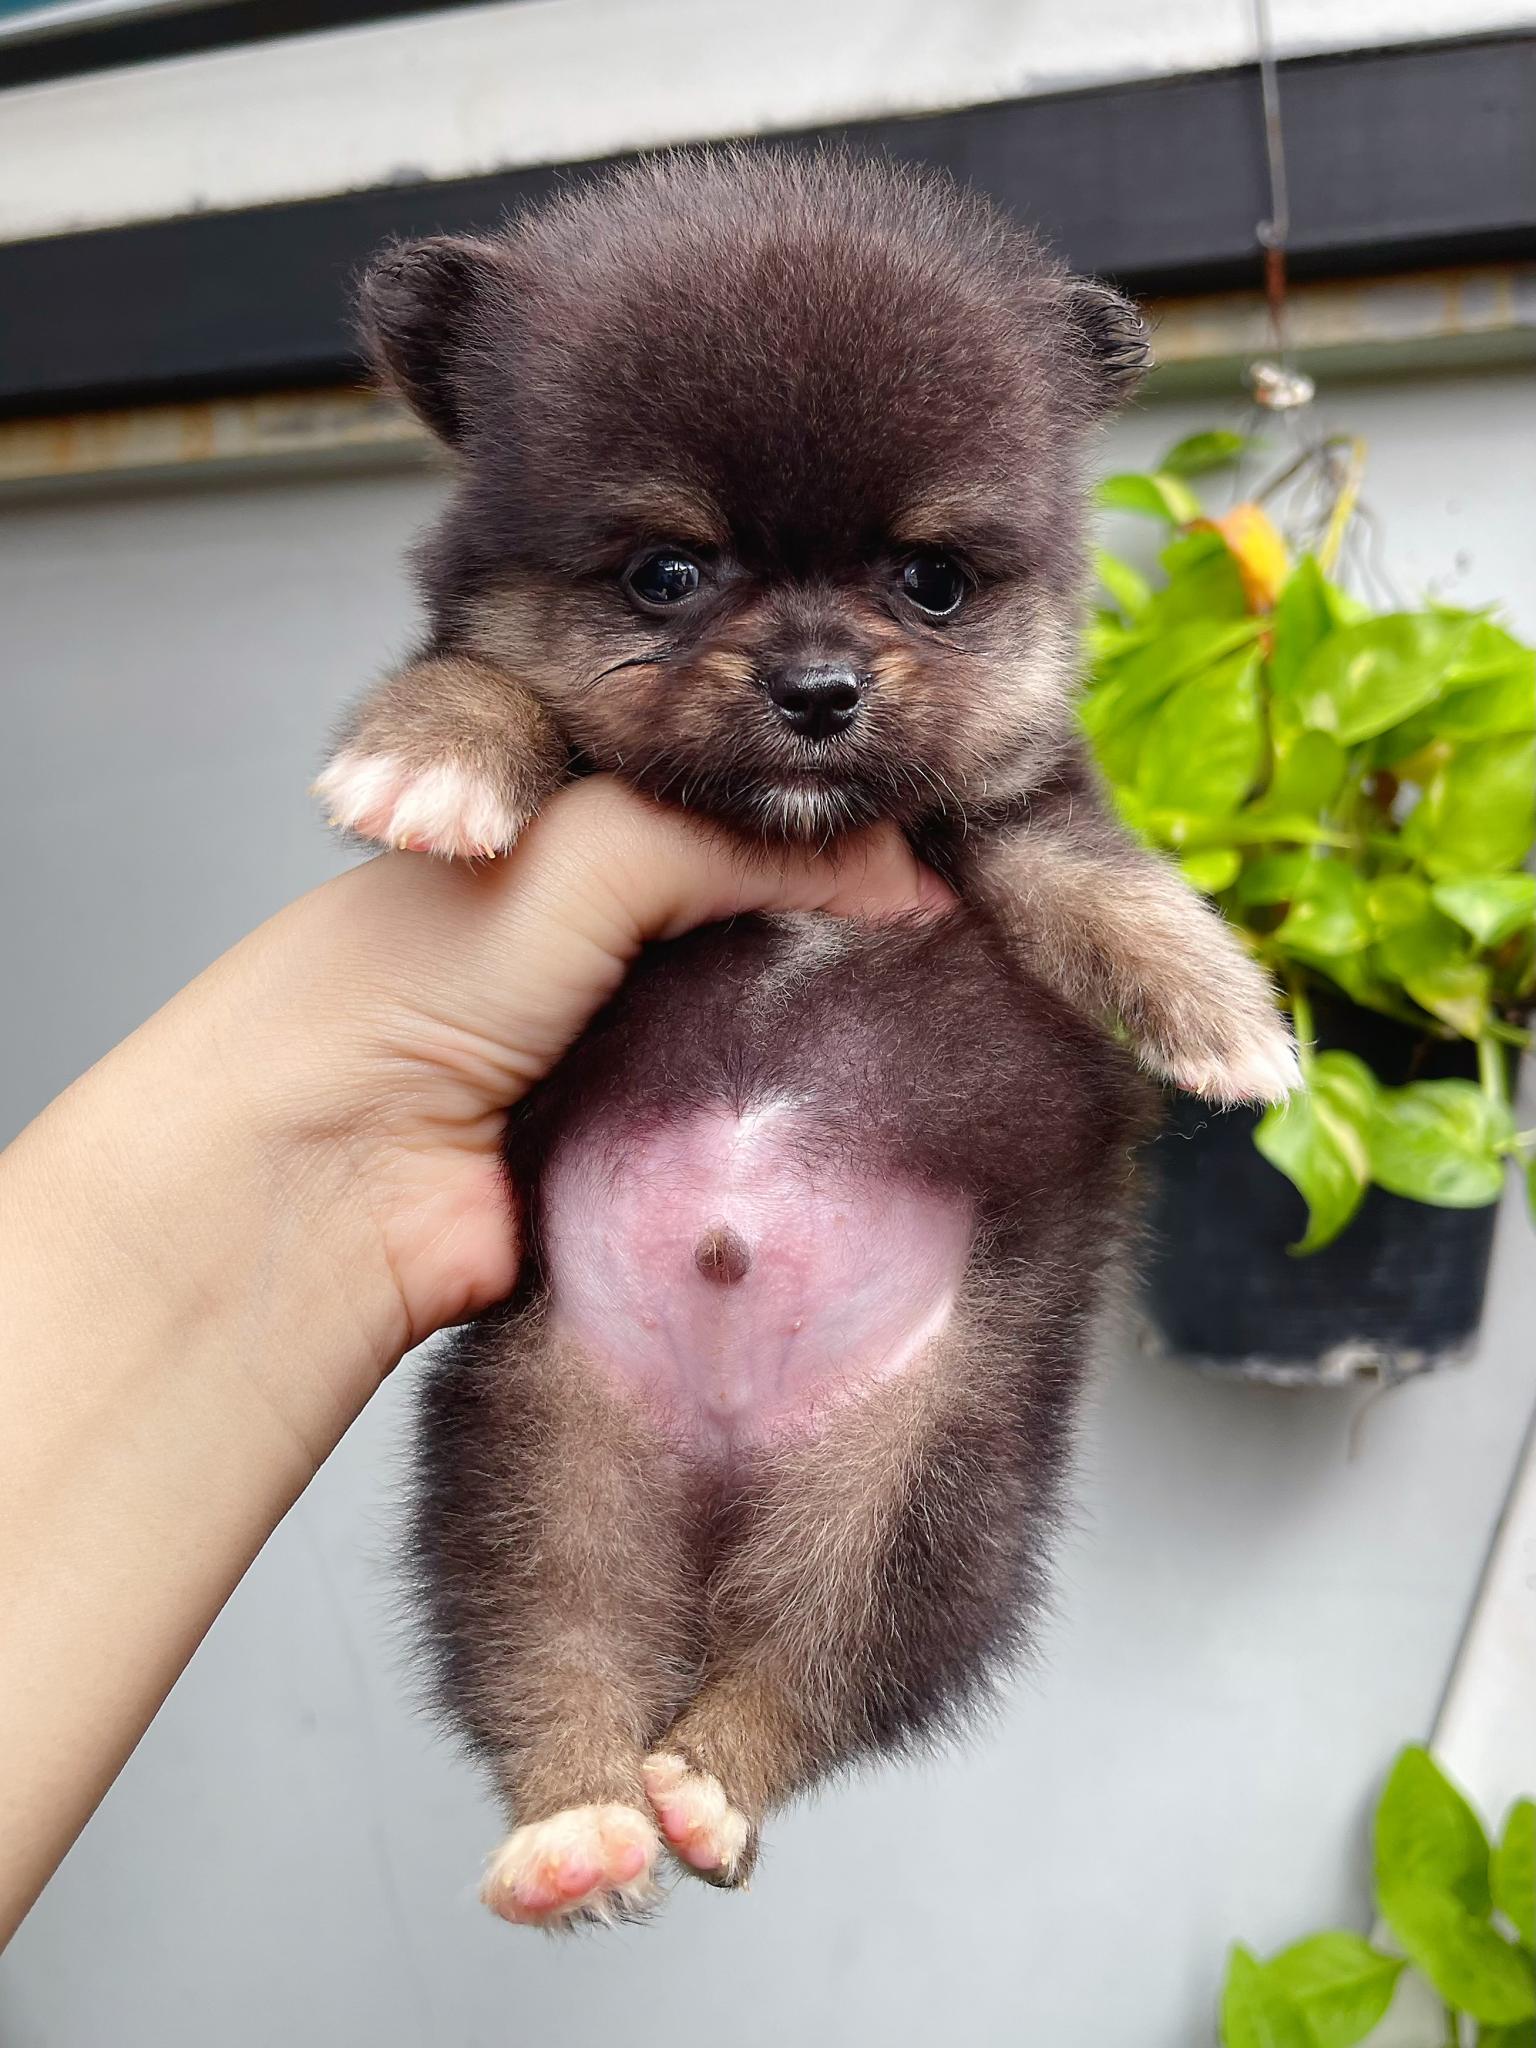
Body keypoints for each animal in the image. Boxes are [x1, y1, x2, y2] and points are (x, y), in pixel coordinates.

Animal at [316, 150, 1295, 1926]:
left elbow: (1095, 874)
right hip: (536, 1447)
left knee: (820, 1661)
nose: (824, 686)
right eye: (666, 574)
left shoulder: (1004, 810)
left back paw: (704, 1782)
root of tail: (726, 1453)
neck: (792, 843)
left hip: (923, 1487)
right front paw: (436, 754)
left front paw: (1220, 1016)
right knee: (548, 1641)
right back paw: (577, 1820)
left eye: (931, 581)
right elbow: (498, 681)